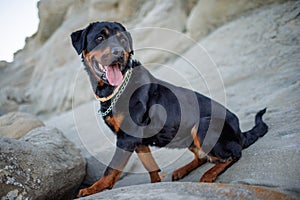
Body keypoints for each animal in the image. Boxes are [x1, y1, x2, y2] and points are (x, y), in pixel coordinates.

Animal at [71, 21, 268, 197]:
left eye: (122, 40)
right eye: (99, 37)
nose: (118, 52)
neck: (116, 89)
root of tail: (240, 132)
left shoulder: (126, 138)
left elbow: (111, 168)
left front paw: (94, 189)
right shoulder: (138, 141)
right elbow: (150, 166)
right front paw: (155, 184)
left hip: (204, 125)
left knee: (233, 154)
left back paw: (209, 174)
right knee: (203, 156)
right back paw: (182, 170)